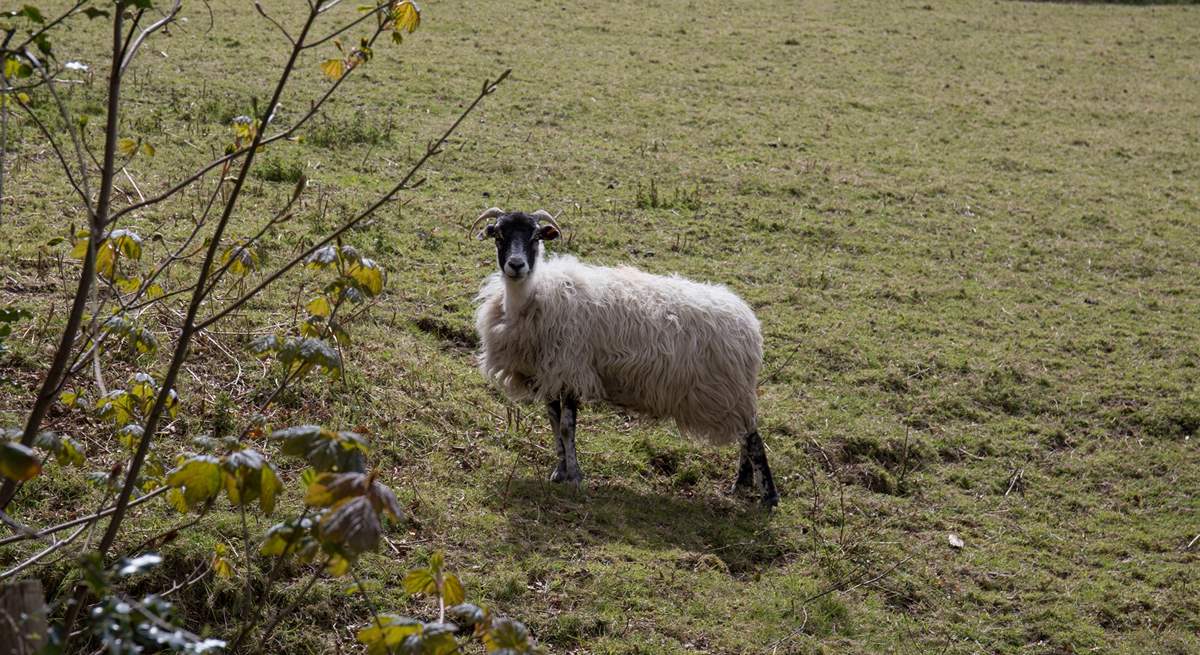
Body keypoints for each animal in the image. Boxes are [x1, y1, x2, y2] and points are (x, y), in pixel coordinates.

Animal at [468, 207, 777, 503]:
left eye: (535, 237)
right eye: (499, 236)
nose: (516, 265)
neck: (532, 297)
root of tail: (748, 320)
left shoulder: (572, 369)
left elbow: (567, 427)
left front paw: (575, 476)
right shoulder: (550, 373)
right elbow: (555, 424)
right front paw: (559, 471)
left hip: (730, 390)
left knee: (753, 438)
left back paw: (768, 497)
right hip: (730, 394)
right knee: (745, 437)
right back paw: (741, 484)